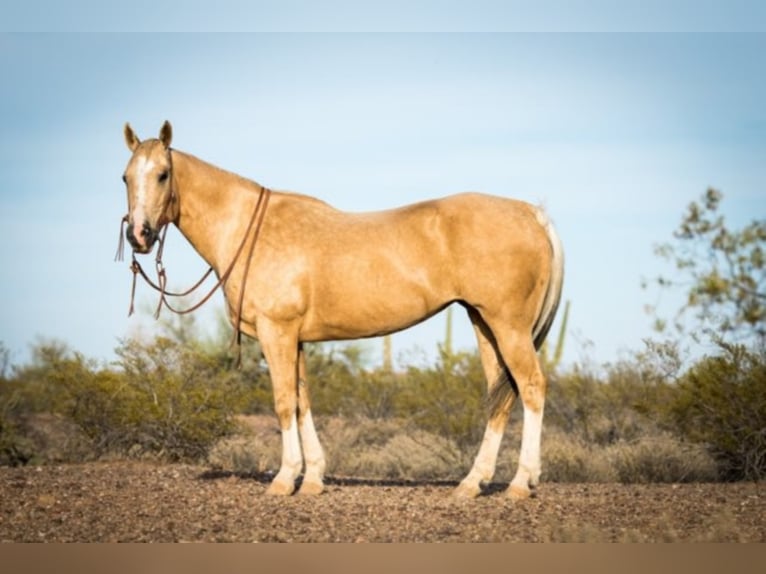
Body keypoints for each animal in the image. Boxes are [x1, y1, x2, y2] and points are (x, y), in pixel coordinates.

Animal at [120, 120, 564, 500]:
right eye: (126, 177)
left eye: (162, 174)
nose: (139, 235)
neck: (249, 229)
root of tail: (532, 214)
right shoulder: (293, 339)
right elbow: (303, 400)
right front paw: (313, 479)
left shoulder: (276, 332)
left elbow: (284, 402)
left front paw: (284, 479)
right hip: (483, 323)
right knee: (500, 395)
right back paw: (472, 483)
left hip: (508, 325)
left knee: (531, 387)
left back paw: (521, 483)